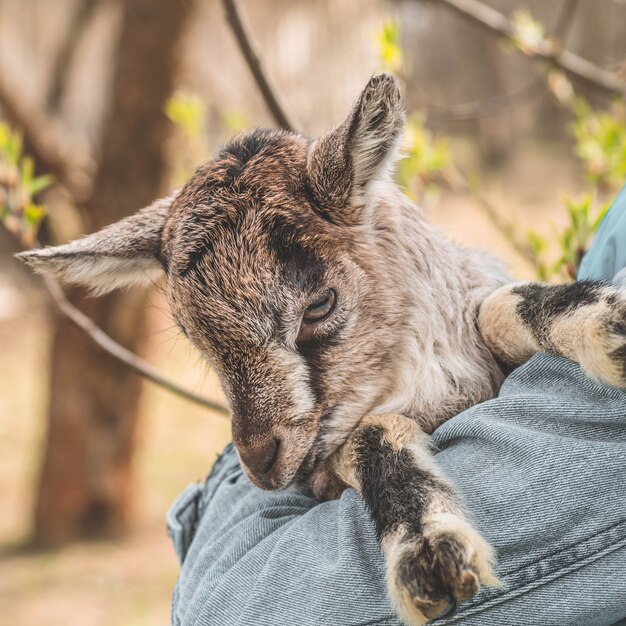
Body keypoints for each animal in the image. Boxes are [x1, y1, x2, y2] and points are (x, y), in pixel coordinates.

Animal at [19, 74, 624, 624]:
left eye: (319, 305)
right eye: (192, 336)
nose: (261, 463)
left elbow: (497, 308)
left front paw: (608, 324)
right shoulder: (324, 470)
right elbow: (369, 434)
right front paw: (430, 558)